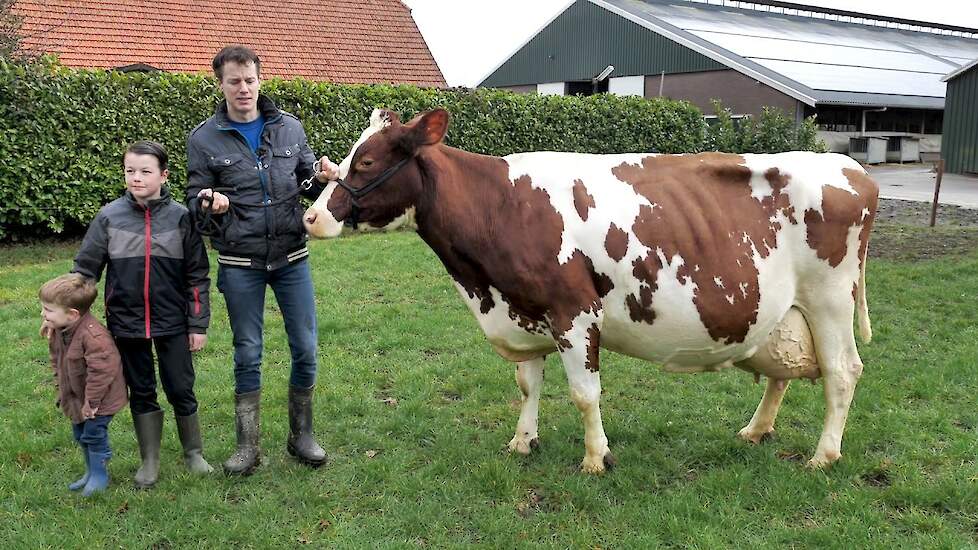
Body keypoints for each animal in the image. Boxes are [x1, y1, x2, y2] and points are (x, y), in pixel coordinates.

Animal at [302, 109, 872, 474]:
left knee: (842, 371)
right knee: (783, 372)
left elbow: (584, 392)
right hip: (784, 311)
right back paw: (756, 431)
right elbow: (527, 385)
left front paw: (597, 458)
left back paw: (823, 456)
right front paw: (522, 442)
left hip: (830, 300)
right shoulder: (524, 311)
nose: (311, 217)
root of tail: (846, 165)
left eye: (367, 163)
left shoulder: (573, 313)